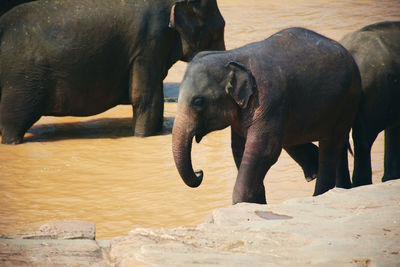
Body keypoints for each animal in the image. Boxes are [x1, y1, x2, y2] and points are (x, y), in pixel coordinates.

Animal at [0, 0, 225, 144]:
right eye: (218, 31)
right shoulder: (149, 43)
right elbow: (146, 100)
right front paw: (143, 138)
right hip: (20, 83)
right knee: (12, 126)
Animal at [170, 27, 360, 204]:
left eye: (198, 102)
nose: (200, 172)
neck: (231, 56)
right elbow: (239, 148)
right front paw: (256, 202)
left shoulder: (269, 100)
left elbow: (264, 150)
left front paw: (244, 202)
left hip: (346, 102)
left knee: (330, 146)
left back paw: (320, 192)